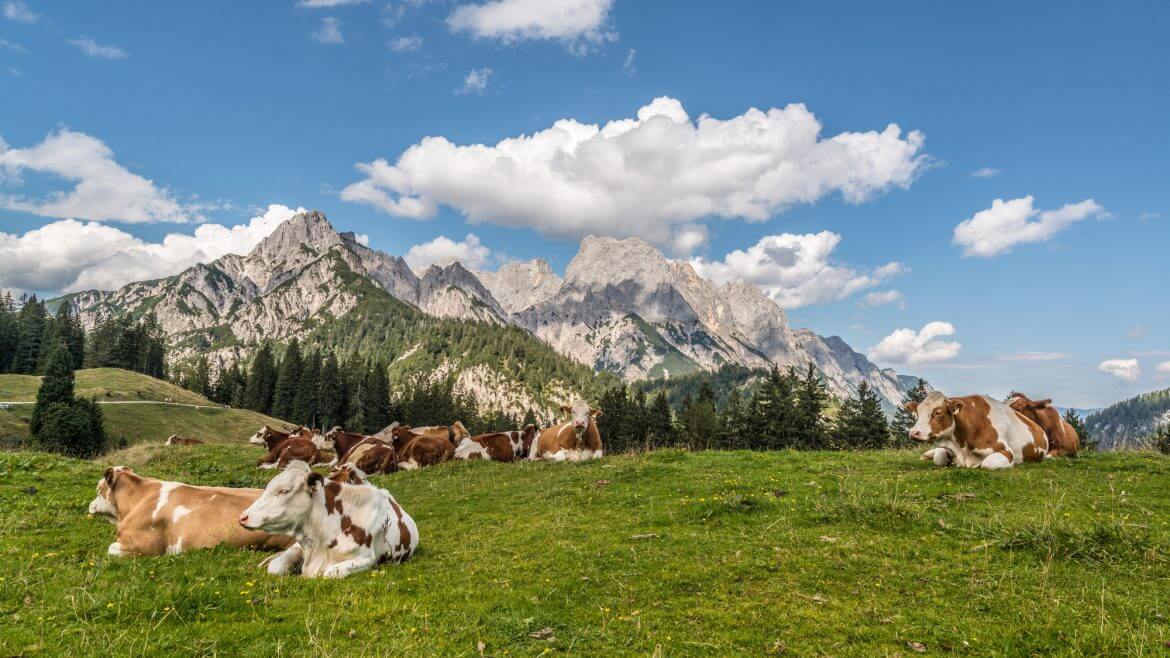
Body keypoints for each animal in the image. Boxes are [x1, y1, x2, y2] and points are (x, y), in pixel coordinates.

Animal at [903, 386, 1053, 468]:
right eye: (918, 412)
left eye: (938, 412)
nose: (914, 432)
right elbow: (939, 457)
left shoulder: (1005, 451)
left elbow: (987, 464)